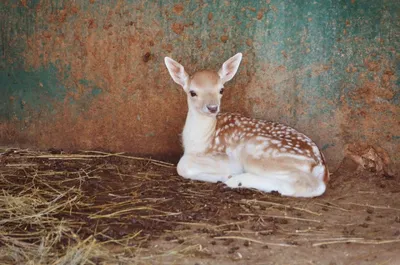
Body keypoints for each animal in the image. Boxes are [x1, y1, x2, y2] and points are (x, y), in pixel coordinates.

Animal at [164, 52, 330, 196]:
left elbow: (182, 165)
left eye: (221, 90)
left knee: (308, 185)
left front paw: (224, 175)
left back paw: (236, 180)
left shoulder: (227, 158)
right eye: (192, 92)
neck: (200, 141)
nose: (212, 107)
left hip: (259, 150)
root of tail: (320, 166)